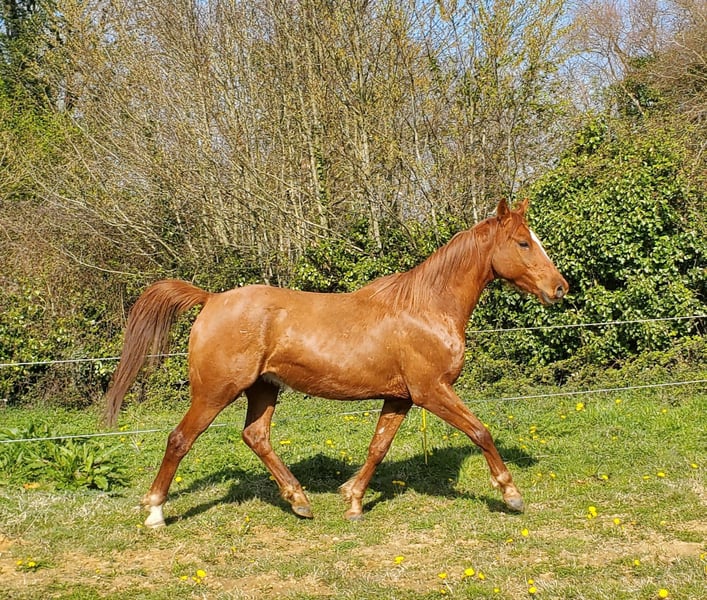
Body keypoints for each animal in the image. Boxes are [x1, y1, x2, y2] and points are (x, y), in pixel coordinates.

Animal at [104, 198, 568, 528]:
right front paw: (511, 494)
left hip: (263, 388)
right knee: (180, 439)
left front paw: (353, 501)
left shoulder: (400, 398)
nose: (560, 288)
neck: (426, 307)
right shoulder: (432, 391)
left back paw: (300, 502)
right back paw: (155, 512)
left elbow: (378, 446)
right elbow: (480, 431)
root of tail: (212, 299)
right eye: (523, 242)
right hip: (215, 391)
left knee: (256, 436)